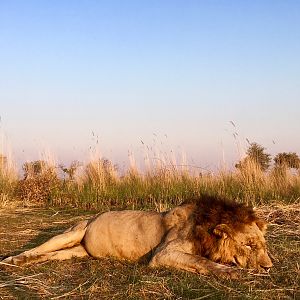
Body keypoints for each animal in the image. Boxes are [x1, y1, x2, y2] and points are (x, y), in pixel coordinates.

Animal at [1, 195, 272, 278]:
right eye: (249, 245)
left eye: (263, 245)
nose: (268, 267)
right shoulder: (163, 253)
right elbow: (200, 261)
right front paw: (230, 272)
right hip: (73, 232)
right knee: (39, 248)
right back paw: (12, 260)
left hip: (76, 251)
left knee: (51, 256)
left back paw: (25, 263)